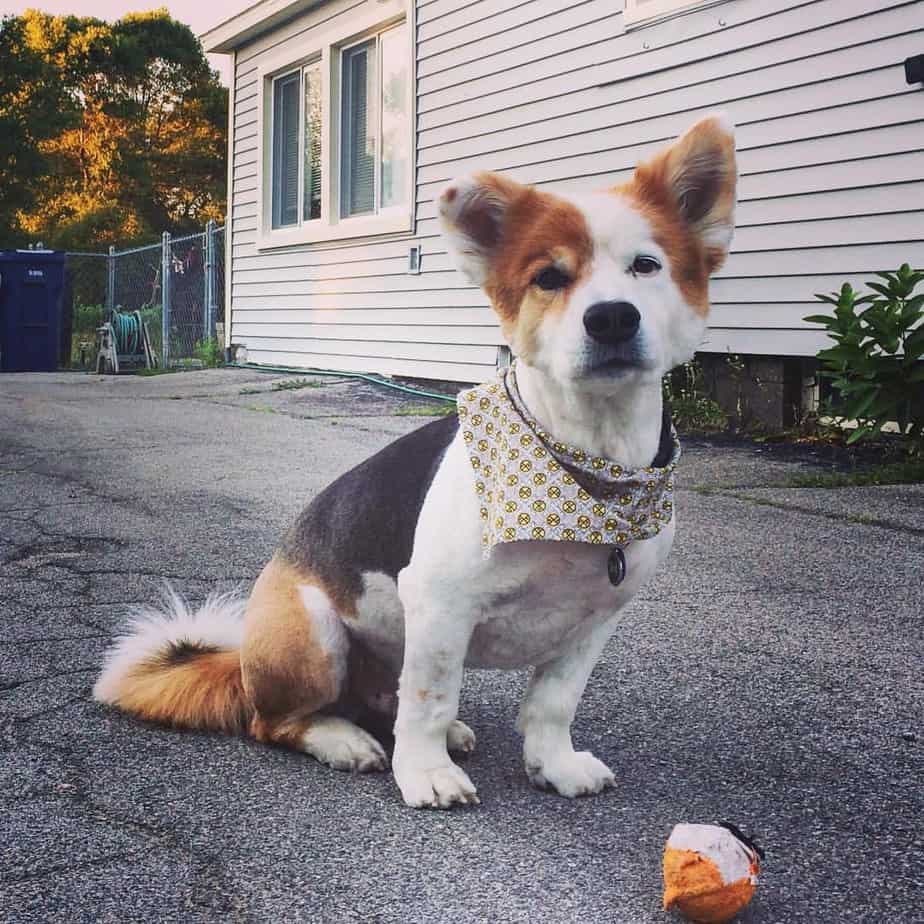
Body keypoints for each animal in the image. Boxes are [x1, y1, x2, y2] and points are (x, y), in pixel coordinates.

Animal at [94, 113, 736, 808]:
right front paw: (427, 772)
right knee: (280, 721)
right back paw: (344, 740)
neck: (584, 467)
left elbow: (551, 704)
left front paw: (553, 764)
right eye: (549, 277)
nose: (612, 318)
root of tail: (240, 662)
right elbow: (429, 699)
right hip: (314, 632)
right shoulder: (439, 603)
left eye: (647, 265)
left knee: (383, 700)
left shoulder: (592, 623)